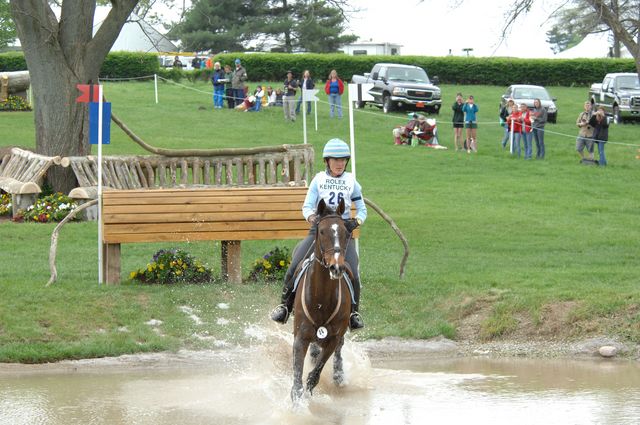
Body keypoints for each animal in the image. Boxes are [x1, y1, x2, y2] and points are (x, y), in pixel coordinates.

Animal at [292, 198, 356, 400]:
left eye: (345, 231)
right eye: (321, 231)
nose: (336, 267)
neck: (320, 300)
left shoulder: (333, 338)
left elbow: (314, 375)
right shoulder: (301, 337)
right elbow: (297, 377)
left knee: (338, 351)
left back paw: (338, 375)